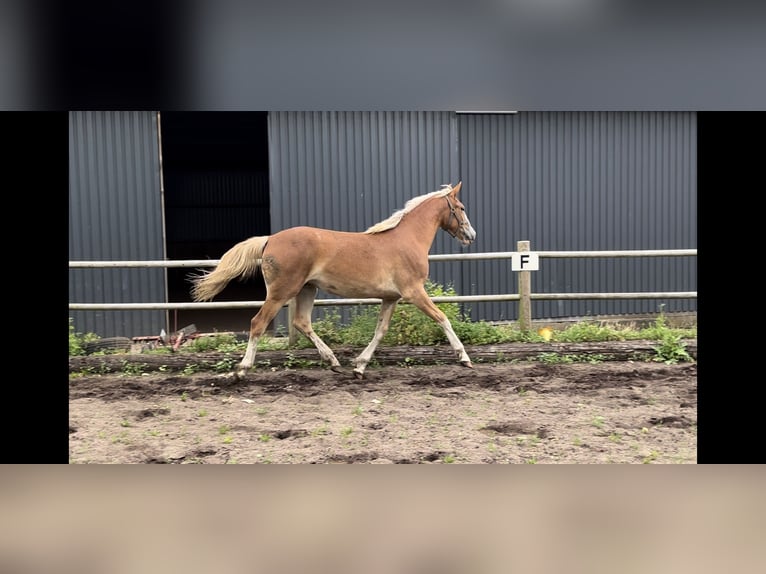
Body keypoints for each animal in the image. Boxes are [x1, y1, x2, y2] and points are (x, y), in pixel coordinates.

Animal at [190, 182, 476, 380]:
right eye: (461, 208)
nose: (471, 235)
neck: (406, 238)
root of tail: (270, 239)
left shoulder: (390, 297)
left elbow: (380, 331)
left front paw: (359, 366)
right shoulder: (414, 292)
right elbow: (442, 318)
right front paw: (464, 357)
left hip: (307, 289)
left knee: (302, 322)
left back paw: (334, 362)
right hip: (282, 292)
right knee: (258, 323)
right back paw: (241, 370)